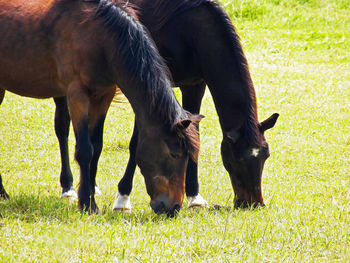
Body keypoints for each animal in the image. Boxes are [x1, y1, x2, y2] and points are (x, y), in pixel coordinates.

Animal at [0, 0, 202, 217]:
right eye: (174, 154)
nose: (174, 208)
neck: (100, 39)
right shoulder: (77, 94)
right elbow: (85, 149)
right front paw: (87, 204)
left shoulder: (103, 95)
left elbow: (96, 145)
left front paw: (89, 195)